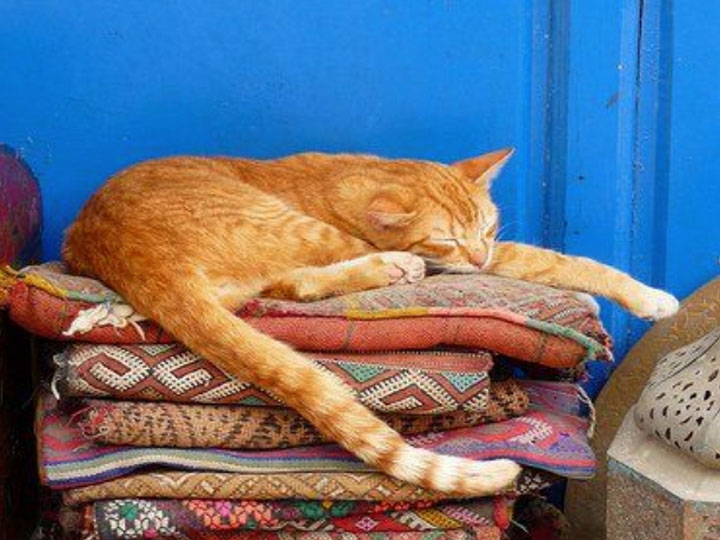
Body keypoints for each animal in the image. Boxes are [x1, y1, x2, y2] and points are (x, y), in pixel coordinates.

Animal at [62, 148, 679, 496]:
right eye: (449, 239)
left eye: (487, 225)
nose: (479, 257)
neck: (363, 169)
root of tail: (127, 253)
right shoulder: (456, 259)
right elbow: (555, 261)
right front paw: (646, 297)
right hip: (299, 231)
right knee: (312, 277)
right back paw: (393, 266)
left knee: (283, 287)